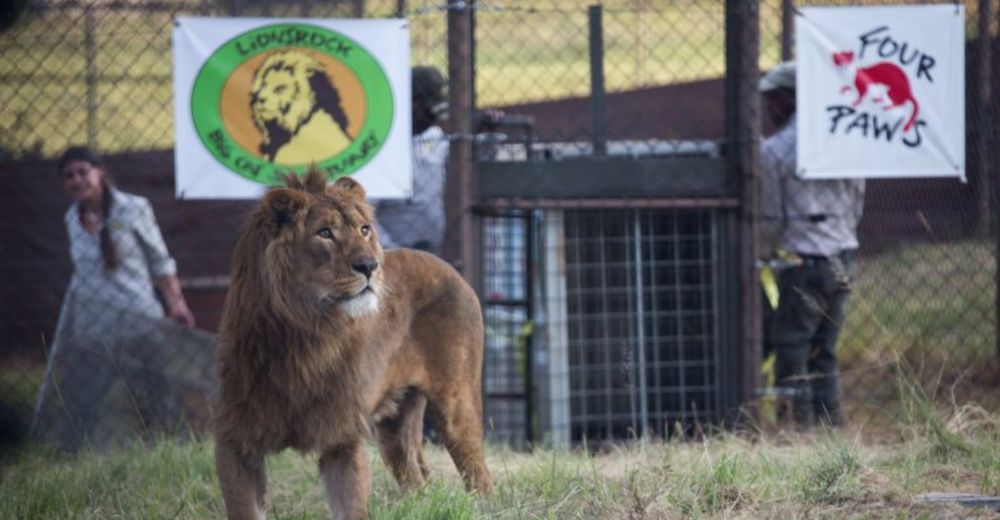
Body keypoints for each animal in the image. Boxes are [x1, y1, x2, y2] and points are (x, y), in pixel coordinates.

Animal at [214, 171, 492, 520]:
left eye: (364, 229)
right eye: (324, 233)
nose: (370, 265)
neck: (303, 335)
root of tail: (449, 267)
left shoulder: (343, 438)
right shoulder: (236, 439)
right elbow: (244, 507)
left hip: (456, 406)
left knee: (480, 476)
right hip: (395, 431)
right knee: (416, 480)